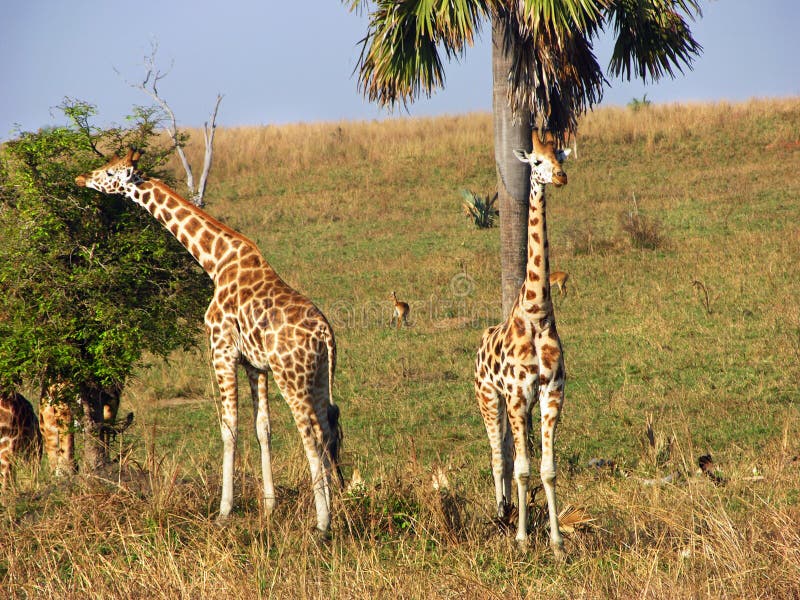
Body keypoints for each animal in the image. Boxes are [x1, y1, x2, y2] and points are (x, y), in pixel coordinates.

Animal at [76, 150, 346, 536]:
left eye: (111, 173)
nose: (82, 178)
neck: (216, 262)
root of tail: (325, 333)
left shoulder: (221, 350)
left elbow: (228, 428)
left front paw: (224, 511)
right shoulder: (254, 365)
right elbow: (262, 428)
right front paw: (269, 508)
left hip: (292, 376)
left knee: (310, 432)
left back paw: (323, 524)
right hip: (320, 375)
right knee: (327, 428)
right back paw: (336, 512)